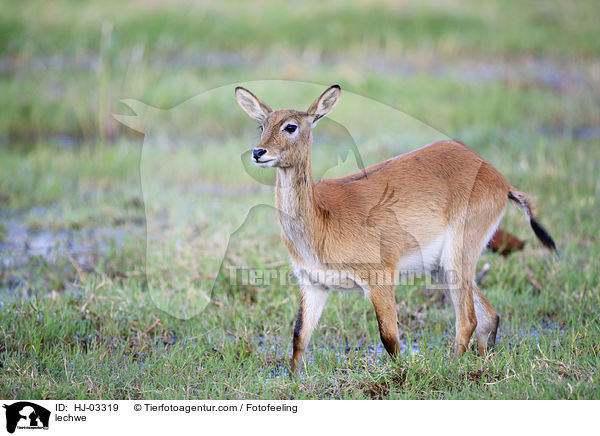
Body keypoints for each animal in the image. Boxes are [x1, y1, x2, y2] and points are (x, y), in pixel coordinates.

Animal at [234, 84, 556, 372]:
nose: (258, 152)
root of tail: (498, 178)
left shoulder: (380, 278)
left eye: (290, 126)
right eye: (262, 124)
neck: (321, 220)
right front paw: (293, 380)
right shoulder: (313, 283)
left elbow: (389, 338)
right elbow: (299, 337)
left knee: (468, 319)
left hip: (457, 257)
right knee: (489, 316)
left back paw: (452, 367)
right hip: (440, 267)